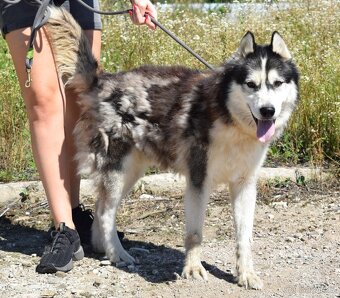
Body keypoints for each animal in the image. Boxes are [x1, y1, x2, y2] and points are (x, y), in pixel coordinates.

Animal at [46, 7, 298, 288]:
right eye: (251, 84)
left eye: (277, 83)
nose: (268, 111)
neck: (230, 119)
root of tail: (103, 80)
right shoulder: (198, 181)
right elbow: (195, 234)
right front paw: (193, 268)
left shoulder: (245, 184)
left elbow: (244, 238)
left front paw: (246, 274)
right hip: (118, 170)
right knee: (104, 212)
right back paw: (117, 254)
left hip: (130, 173)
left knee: (102, 207)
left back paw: (104, 247)